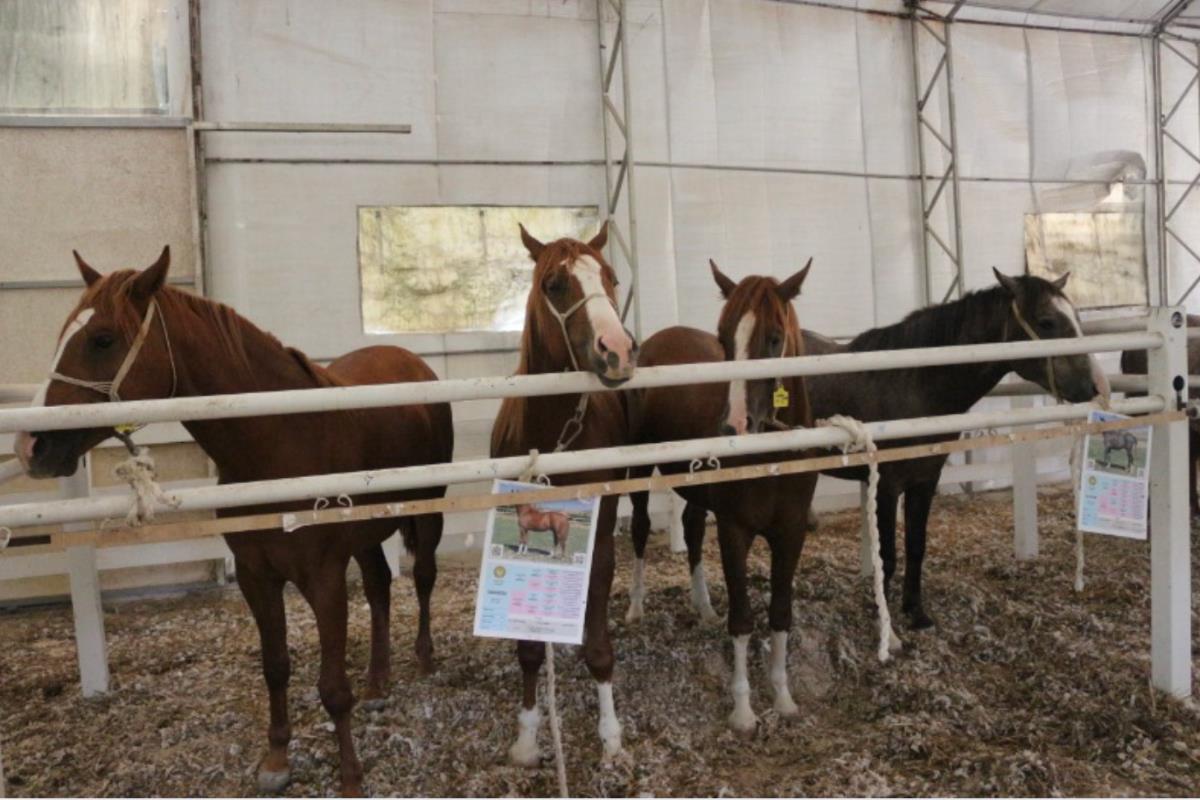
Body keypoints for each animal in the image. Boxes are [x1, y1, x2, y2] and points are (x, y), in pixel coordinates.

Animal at [13, 247, 453, 796]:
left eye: (102, 339)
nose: (31, 446)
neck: (282, 443)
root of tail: (413, 362)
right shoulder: (255, 575)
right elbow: (276, 666)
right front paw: (277, 758)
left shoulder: (324, 578)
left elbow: (332, 687)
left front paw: (350, 774)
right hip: (367, 535)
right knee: (378, 587)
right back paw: (377, 683)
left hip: (428, 509)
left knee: (423, 577)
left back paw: (425, 658)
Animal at [490, 222, 636, 766]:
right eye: (554, 284)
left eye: (612, 277)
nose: (618, 349)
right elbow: (529, 649)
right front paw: (528, 737)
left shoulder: (600, 534)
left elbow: (598, 646)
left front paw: (611, 738)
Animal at [626, 259, 817, 733]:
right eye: (724, 336)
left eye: (773, 337)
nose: (732, 426)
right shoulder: (734, 531)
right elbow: (743, 618)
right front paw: (744, 710)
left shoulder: (791, 533)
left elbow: (781, 613)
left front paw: (783, 697)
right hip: (636, 471)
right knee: (639, 529)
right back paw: (636, 607)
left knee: (692, 530)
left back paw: (703, 605)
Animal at [631, 269, 1106, 633]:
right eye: (1047, 322)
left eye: (1074, 317)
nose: (1091, 386)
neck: (914, 380)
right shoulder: (888, 483)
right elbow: (888, 556)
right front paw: (884, 621)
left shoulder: (925, 480)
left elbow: (917, 545)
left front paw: (917, 613)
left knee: (693, 525)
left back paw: (705, 608)